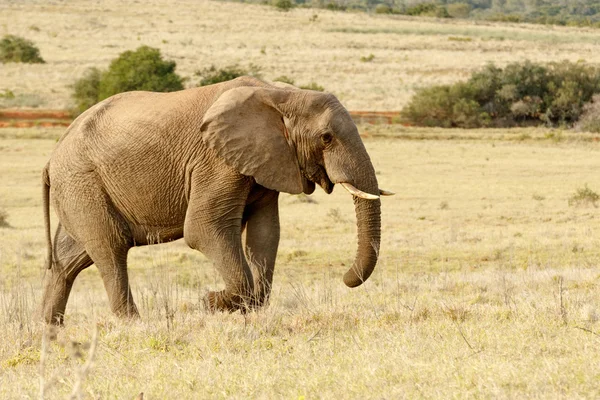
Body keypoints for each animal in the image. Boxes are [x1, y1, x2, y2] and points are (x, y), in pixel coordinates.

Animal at [39, 76, 392, 324]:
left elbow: (266, 232)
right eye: (326, 138)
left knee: (69, 259)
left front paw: (239, 307)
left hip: (80, 188)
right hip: (82, 181)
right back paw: (132, 324)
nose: (345, 277)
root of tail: (52, 156)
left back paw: (49, 329)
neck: (281, 95)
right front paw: (211, 302)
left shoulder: (266, 160)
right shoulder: (215, 160)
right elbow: (203, 229)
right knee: (110, 247)